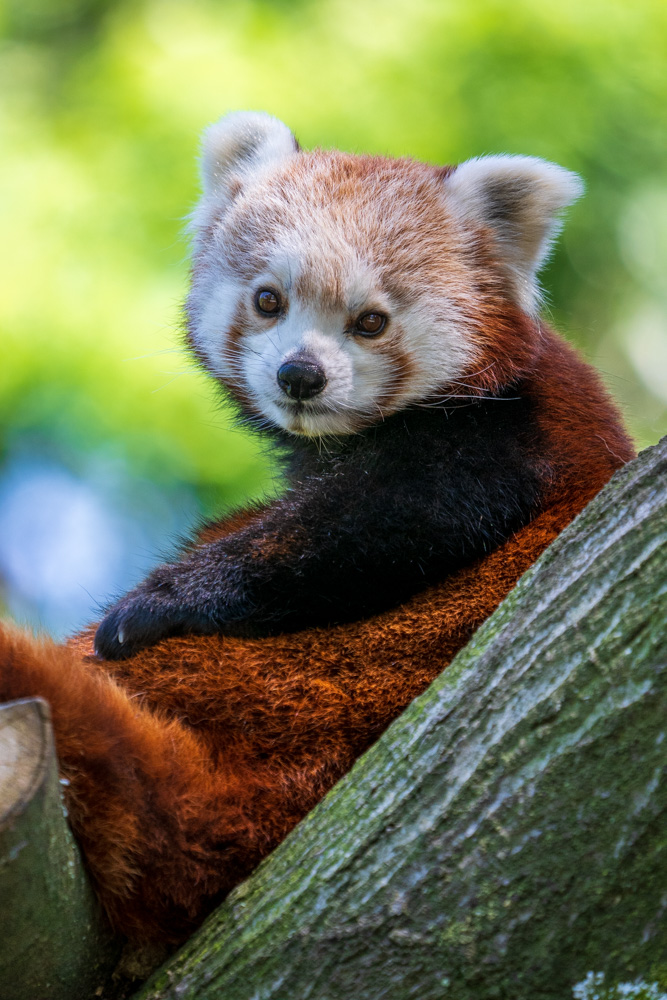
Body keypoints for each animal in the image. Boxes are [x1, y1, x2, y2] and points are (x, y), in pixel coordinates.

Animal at [0, 113, 636, 948]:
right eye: (269, 300)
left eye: (370, 321)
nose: (299, 375)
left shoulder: (510, 433)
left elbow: (374, 526)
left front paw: (160, 600)